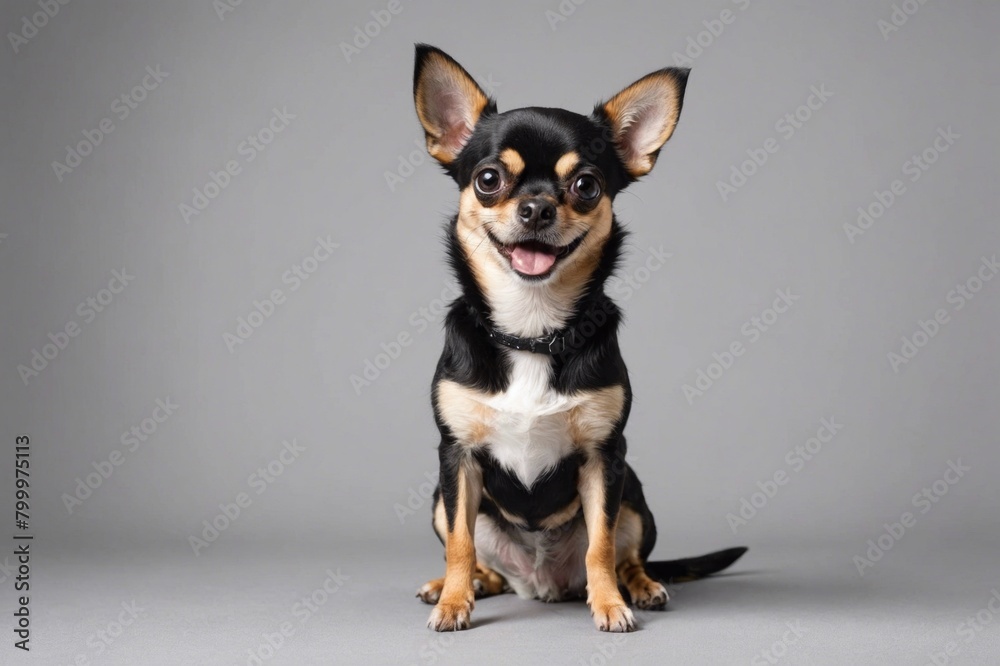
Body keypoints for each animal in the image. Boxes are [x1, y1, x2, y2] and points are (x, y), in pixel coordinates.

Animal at [410, 44, 748, 632]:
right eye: (489, 179)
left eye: (586, 186)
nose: (537, 207)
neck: (532, 330)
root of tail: (539, 583)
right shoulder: (457, 458)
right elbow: (459, 544)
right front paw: (454, 602)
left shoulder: (603, 459)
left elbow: (601, 545)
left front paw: (610, 604)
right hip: (439, 497)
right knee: (481, 558)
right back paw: (466, 585)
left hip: (634, 493)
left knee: (627, 552)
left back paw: (641, 587)